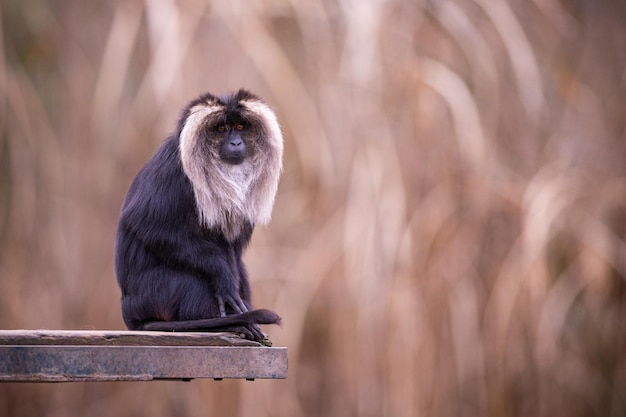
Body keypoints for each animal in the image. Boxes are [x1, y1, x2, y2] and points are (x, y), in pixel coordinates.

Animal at [114, 89, 282, 340]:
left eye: (240, 126)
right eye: (221, 128)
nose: (235, 142)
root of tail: (130, 313)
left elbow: (233, 253)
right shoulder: (174, 168)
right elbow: (148, 226)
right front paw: (223, 280)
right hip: (154, 294)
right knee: (194, 279)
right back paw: (220, 324)